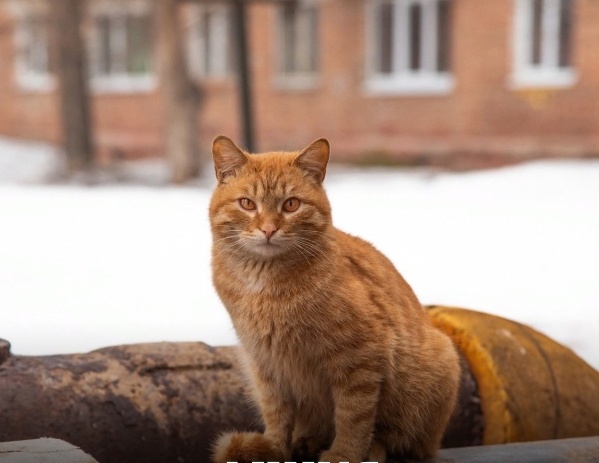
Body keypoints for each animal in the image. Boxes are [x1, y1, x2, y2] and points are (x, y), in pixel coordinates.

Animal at [209, 137, 462, 463]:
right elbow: (276, 413)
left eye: (291, 204)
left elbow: (353, 416)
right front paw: (275, 448)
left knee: (400, 442)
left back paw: (372, 450)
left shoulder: (358, 360)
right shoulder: (265, 364)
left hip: (437, 365)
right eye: (247, 204)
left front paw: (344, 454)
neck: (264, 284)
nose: (268, 230)